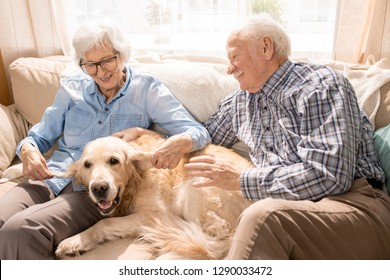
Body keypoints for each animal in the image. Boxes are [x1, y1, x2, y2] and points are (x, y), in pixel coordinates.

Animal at [54, 135, 253, 260]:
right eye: (87, 165)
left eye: (114, 161)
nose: (99, 188)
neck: (134, 183)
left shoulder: (153, 214)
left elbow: (105, 223)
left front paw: (74, 241)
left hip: (197, 182)